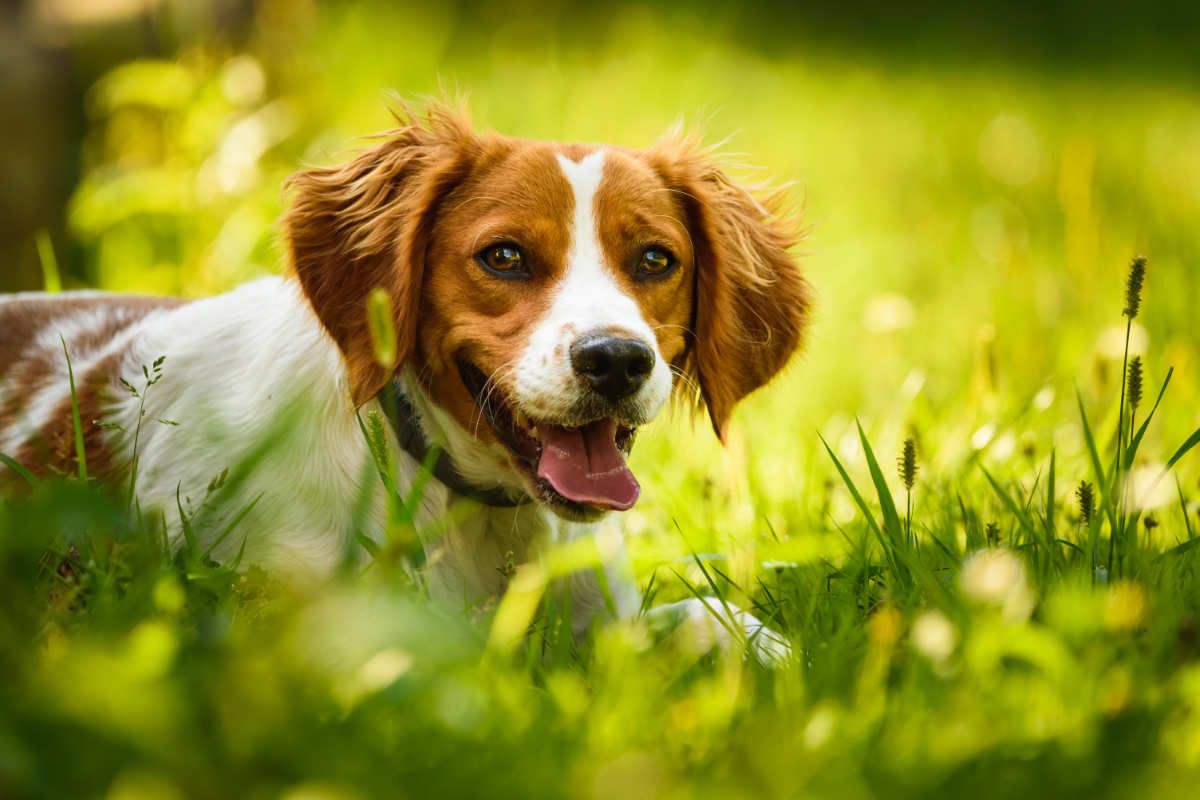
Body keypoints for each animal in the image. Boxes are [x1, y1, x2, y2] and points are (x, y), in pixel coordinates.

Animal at [0, 103, 811, 662]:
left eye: (654, 259)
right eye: (504, 255)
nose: (615, 359)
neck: (474, 510)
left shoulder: (604, 619)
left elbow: (715, 616)